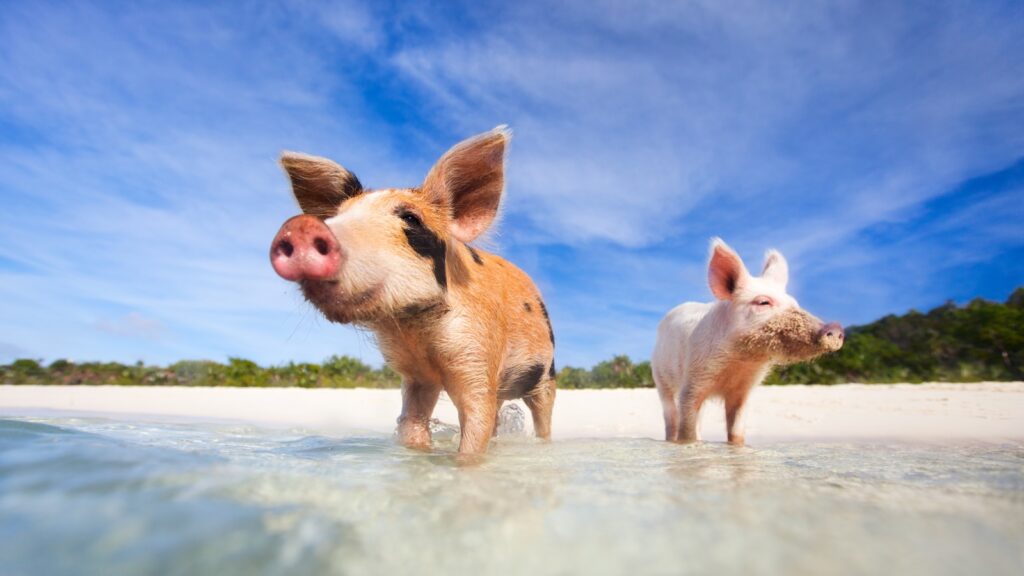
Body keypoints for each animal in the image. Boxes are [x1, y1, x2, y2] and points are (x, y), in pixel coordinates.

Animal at [269, 127, 556, 456]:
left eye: (411, 219)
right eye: (335, 216)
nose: (301, 227)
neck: (417, 332)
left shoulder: (478, 353)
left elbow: (475, 428)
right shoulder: (417, 376)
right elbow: (412, 424)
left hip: (546, 374)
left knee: (542, 416)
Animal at [652, 238, 844, 445]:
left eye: (795, 304)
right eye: (763, 302)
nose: (835, 328)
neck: (740, 362)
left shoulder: (743, 390)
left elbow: (737, 430)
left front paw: (736, 446)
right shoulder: (693, 379)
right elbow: (687, 429)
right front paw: (687, 445)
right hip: (660, 377)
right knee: (671, 415)